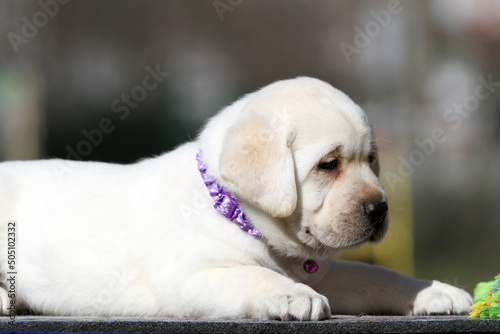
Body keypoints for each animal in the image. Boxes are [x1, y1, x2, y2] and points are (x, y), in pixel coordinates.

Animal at [0, 77, 472, 320]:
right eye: (328, 164)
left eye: (370, 160)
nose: (380, 209)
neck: (234, 211)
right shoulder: (188, 278)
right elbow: (253, 276)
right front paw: (291, 296)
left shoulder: (324, 273)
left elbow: (372, 274)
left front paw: (435, 292)